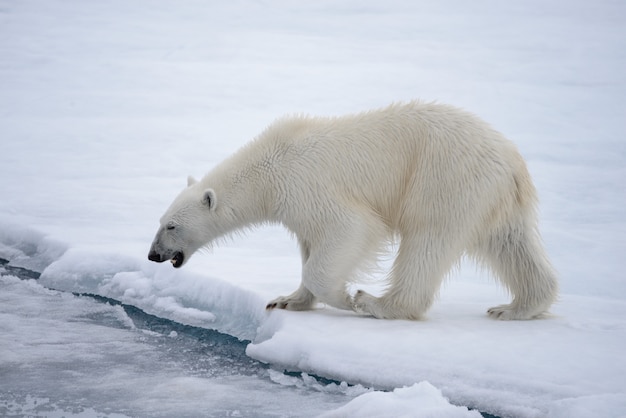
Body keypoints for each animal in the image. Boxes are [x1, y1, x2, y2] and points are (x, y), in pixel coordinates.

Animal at [150, 101, 556, 320]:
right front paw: (286, 300)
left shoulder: (309, 186)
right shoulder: (296, 206)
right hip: (494, 196)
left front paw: (345, 299)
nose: (153, 255)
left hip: (445, 179)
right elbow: (309, 246)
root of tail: (511, 159)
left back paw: (378, 303)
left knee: (427, 239)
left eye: (171, 226)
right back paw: (515, 306)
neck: (268, 168)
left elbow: (349, 230)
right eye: (161, 221)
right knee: (512, 244)